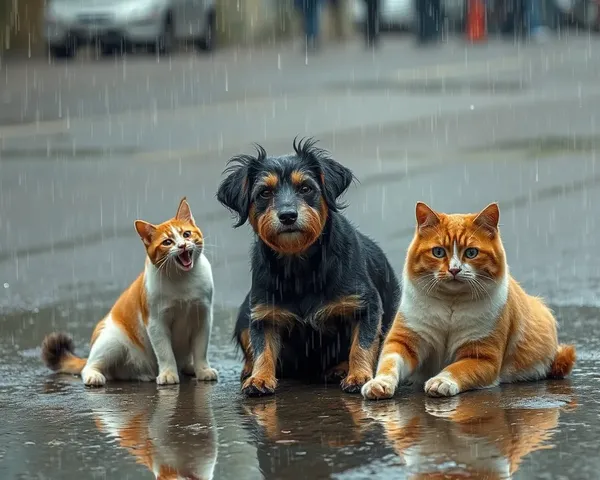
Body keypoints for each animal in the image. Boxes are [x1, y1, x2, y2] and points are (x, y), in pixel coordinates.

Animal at [40, 197, 218, 388]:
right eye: (167, 242)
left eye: (186, 234)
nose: (183, 245)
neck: (182, 278)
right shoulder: (156, 323)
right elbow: (165, 352)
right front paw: (168, 373)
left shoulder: (203, 317)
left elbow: (201, 350)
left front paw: (203, 370)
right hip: (113, 341)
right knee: (89, 367)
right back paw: (95, 376)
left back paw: (186, 368)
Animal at [214, 137, 398, 396]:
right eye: (264, 192)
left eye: (305, 188)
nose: (288, 216)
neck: (299, 264)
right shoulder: (262, 313)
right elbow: (262, 348)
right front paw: (259, 378)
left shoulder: (367, 305)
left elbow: (362, 344)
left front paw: (359, 375)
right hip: (243, 312)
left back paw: (340, 369)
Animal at [360, 202, 576, 402]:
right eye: (438, 252)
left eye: (471, 253)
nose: (454, 270)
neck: (451, 303)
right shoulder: (403, 342)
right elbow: (388, 364)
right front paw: (379, 384)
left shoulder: (482, 357)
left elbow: (457, 368)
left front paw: (441, 381)